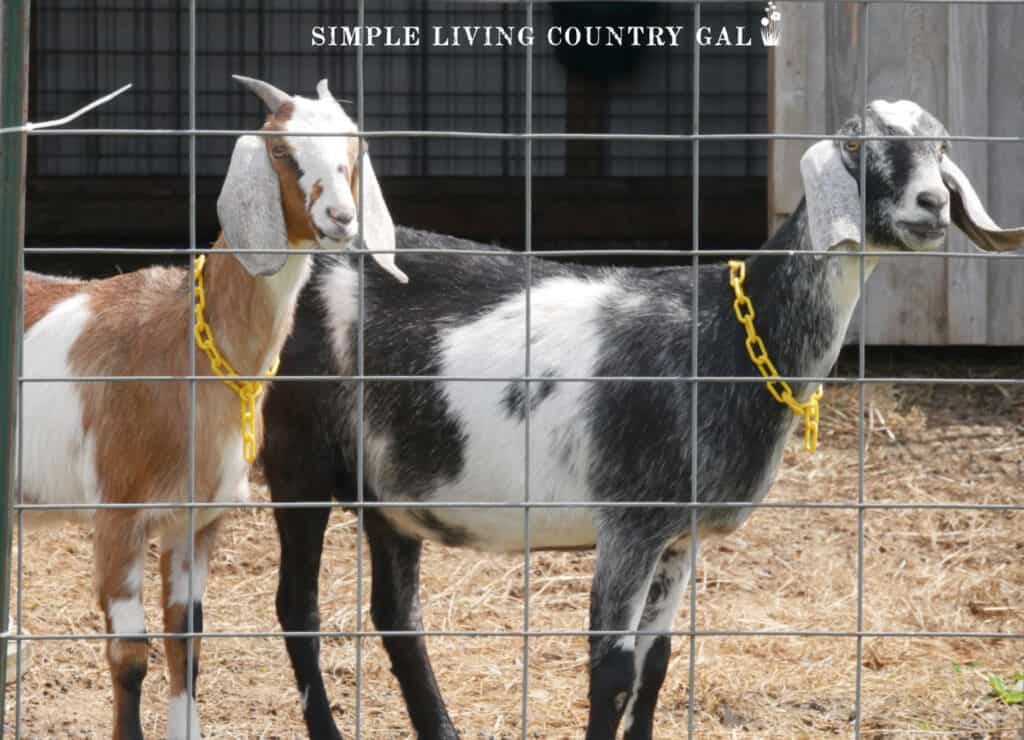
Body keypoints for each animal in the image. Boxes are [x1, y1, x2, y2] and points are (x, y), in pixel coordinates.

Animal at [19, 76, 403, 740]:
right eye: (282, 152)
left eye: (353, 150)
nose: (341, 217)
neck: (185, 349)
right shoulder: (119, 516)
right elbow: (129, 656)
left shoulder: (196, 519)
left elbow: (187, 641)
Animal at [260, 99, 1019, 740]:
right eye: (858, 145)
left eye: (942, 146)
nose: (932, 203)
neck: (727, 337)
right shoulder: (629, 521)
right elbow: (614, 671)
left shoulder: (680, 536)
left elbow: (658, 662)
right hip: (295, 455)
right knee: (298, 608)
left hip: (391, 487)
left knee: (398, 616)